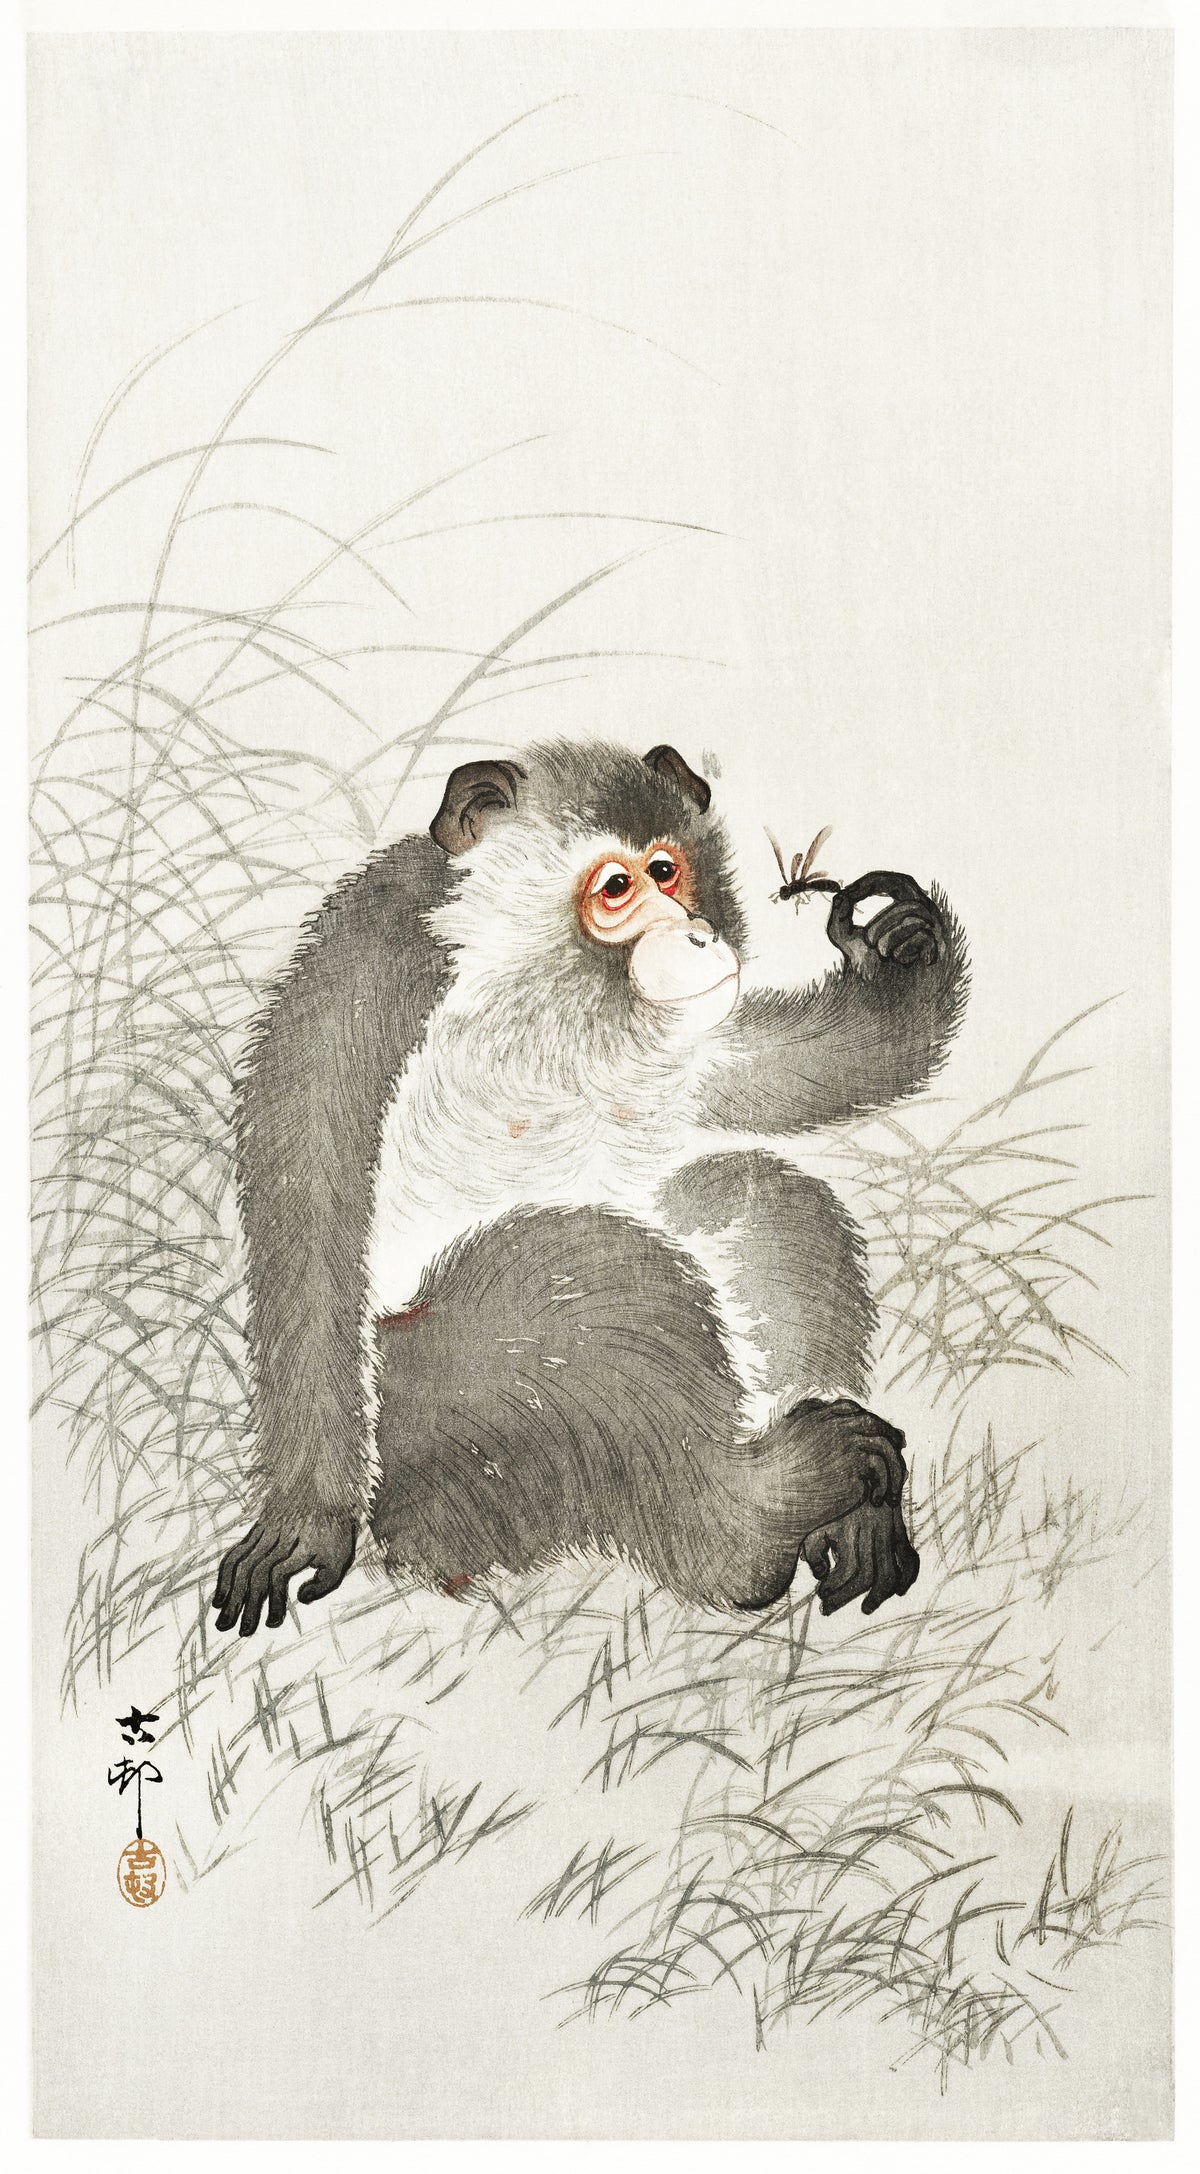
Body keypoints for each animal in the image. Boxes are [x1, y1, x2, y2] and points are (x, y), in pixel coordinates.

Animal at [212, 738, 968, 1639]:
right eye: (617, 888)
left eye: (668, 870)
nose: (699, 936)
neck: (537, 992)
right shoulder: (372, 972)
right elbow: (310, 1217)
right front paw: (306, 1520)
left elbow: (758, 1077)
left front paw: (894, 955)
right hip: (428, 1423)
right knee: (585, 1276)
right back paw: (747, 1531)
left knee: (755, 1202)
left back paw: (837, 1516)